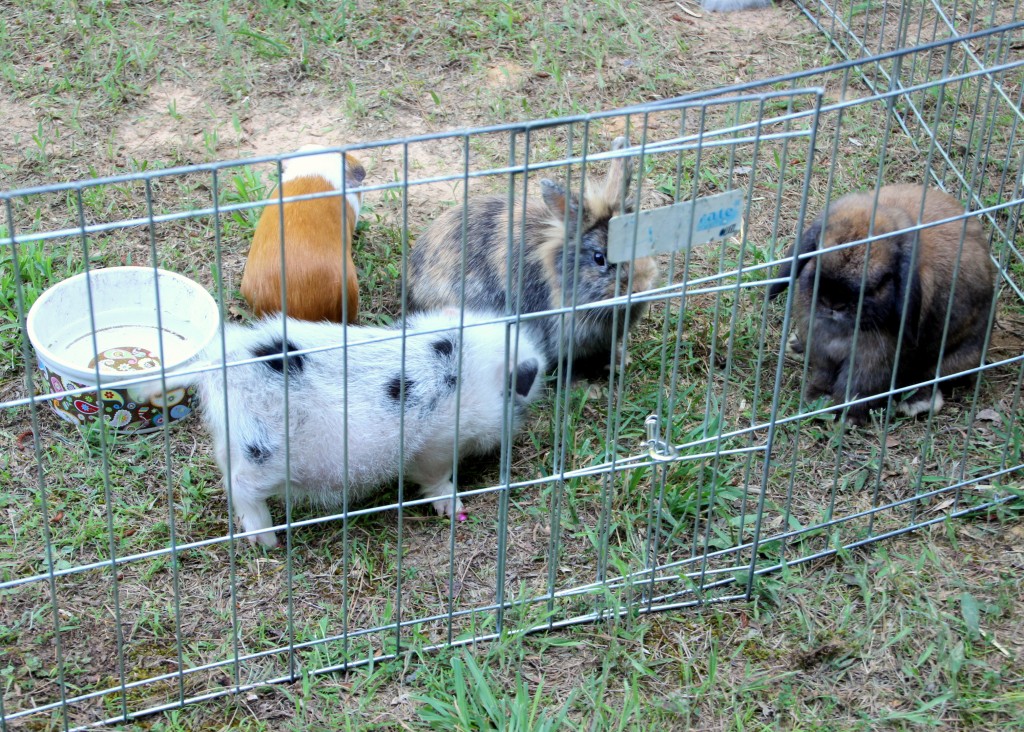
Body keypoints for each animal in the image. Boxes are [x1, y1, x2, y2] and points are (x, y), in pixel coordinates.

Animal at [770, 183, 995, 423]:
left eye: (880, 283)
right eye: (816, 259)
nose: (832, 302)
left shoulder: (874, 362)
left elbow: (858, 389)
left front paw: (847, 417)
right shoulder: (821, 345)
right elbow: (824, 373)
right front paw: (817, 399)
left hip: (954, 358)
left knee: (929, 377)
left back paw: (916, 402)